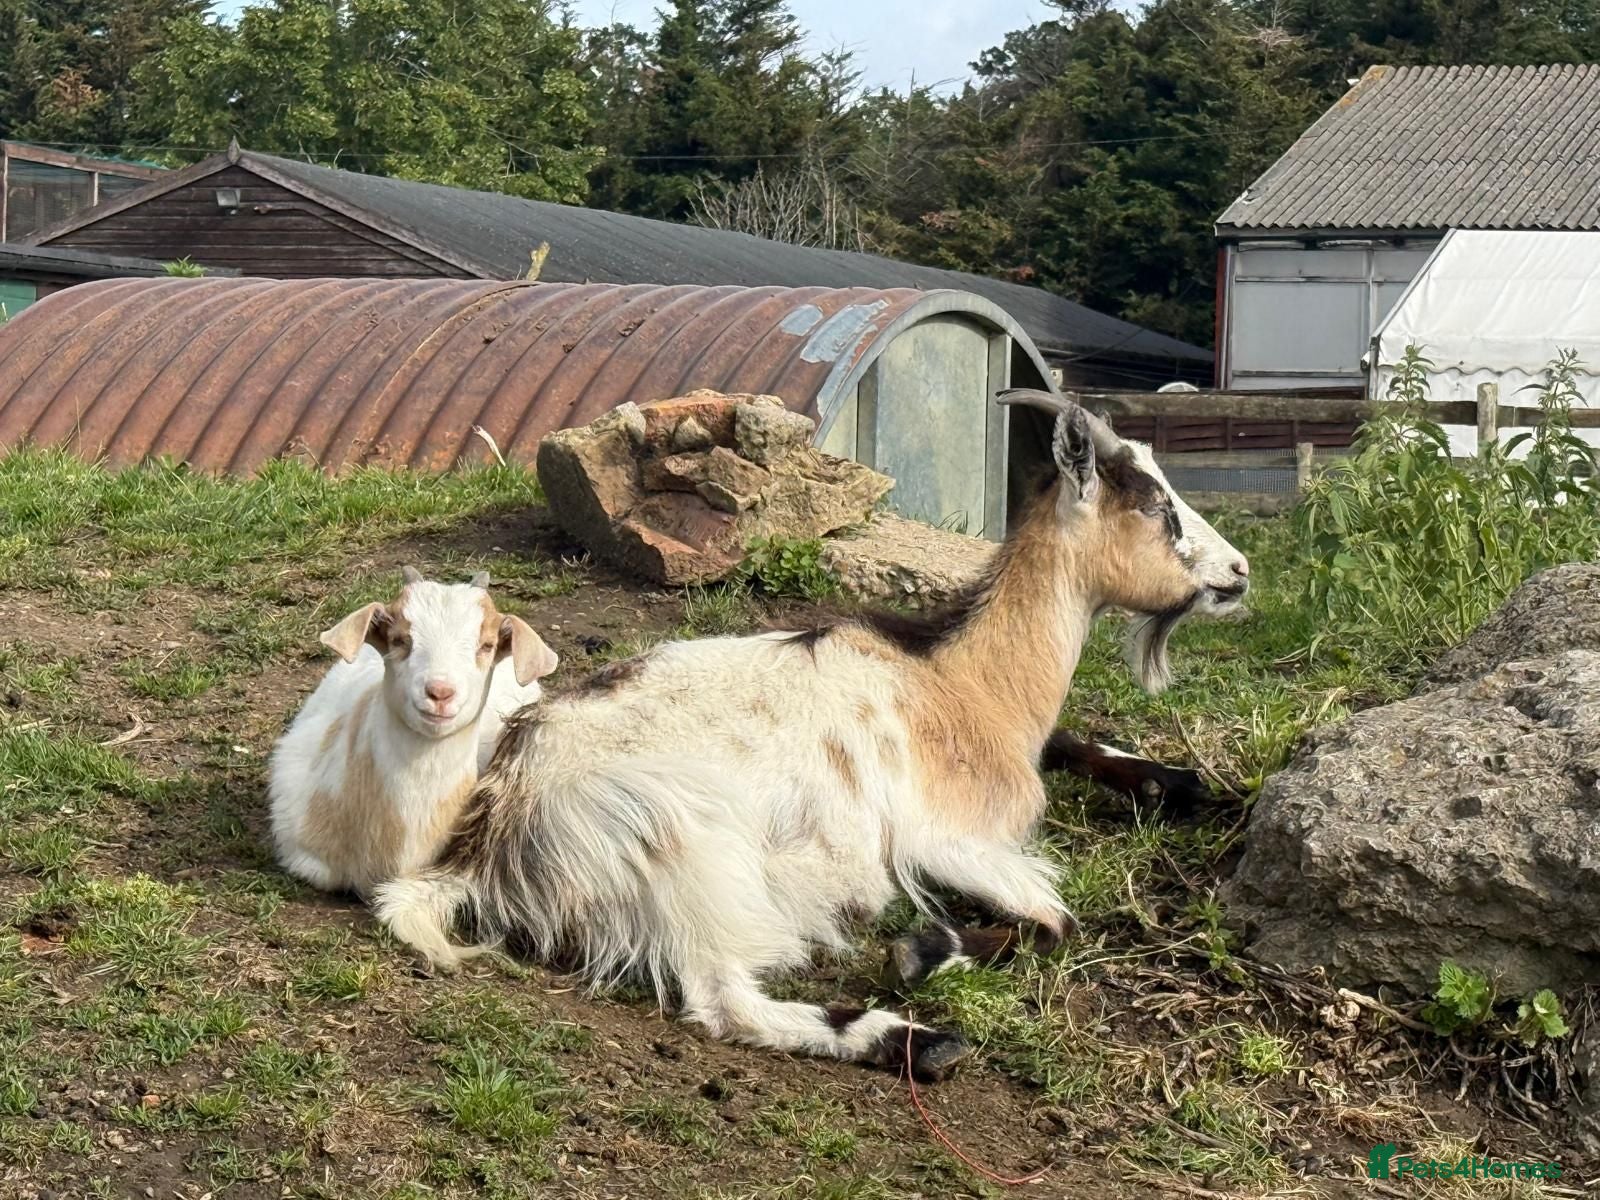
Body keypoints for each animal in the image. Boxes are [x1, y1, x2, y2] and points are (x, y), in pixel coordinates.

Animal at [374, 392, 1248, 1081]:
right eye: (1159, 508)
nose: (1239, 572)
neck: (964, 684)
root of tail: (491, 836)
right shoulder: (943, 837)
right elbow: (1058, 924)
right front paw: (924, 950)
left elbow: (1078, 749)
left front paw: (1180, 783)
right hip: (684, 853)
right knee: (724, 1003)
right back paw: (912, 1040)